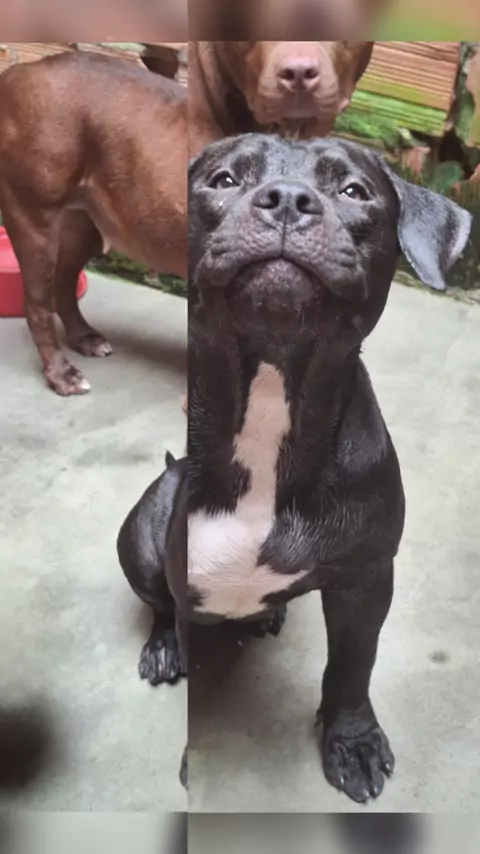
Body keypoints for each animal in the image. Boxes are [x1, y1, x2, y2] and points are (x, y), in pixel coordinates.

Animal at [0, 51, 187, 396]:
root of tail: (19, 72)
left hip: (82, 225)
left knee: (63, 285)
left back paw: (85, 338)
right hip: (33, 217)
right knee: (38, 302)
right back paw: (61, 374)